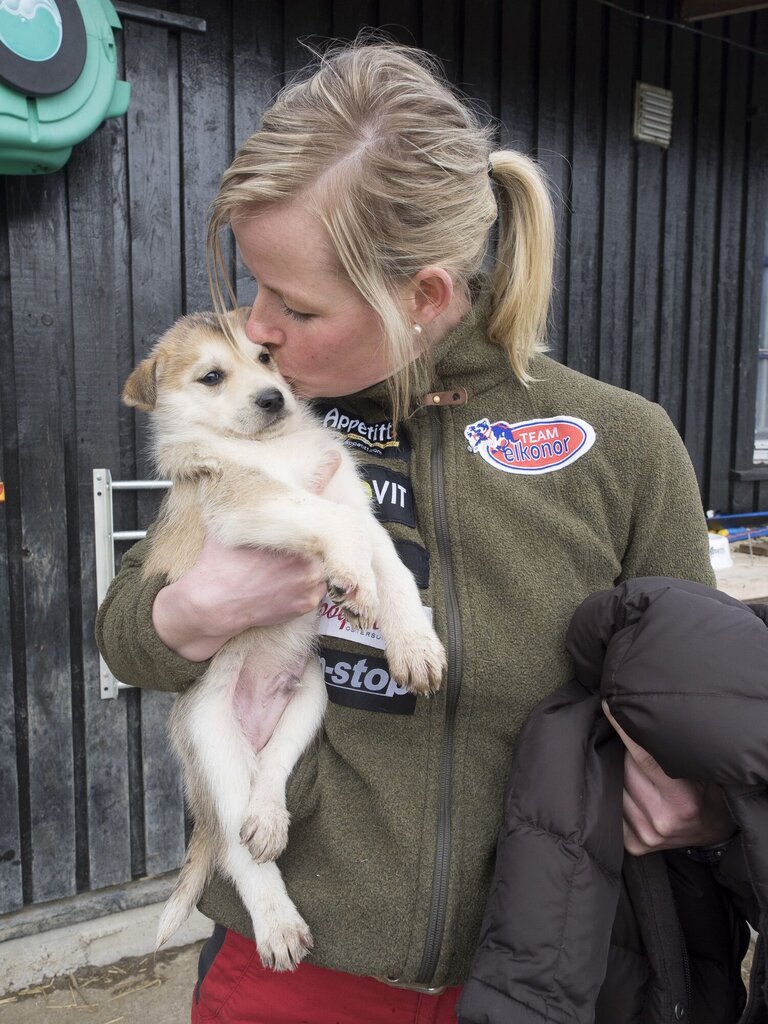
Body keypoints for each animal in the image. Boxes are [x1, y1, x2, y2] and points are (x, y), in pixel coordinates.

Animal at [120, 309, 444, 966]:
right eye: (212, 376)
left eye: (266, 357)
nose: (273, 398)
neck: (271, 449)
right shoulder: (246, 500)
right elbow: (333, 523)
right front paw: (355, 582)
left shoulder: (357, 506)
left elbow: (393, 571)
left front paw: (414, 645)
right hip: (212, 743)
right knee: (235, 850)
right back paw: (278, 925)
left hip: (311, 696)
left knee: (268, 774)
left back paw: (269, 819)